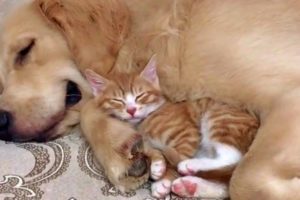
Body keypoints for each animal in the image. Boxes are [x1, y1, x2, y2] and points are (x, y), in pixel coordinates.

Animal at [84, 55, 258, 198]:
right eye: (117, 100)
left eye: (140, 96)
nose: (131, 110)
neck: (145, 120)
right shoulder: (139, 139)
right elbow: (149, 149)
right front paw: (157, 164)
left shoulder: (187, 133)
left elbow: (179, 154)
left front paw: (163, 178)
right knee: (225, 183)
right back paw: (190, 187)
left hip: (220, 118)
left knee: (232, 157)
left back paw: (191, 166)